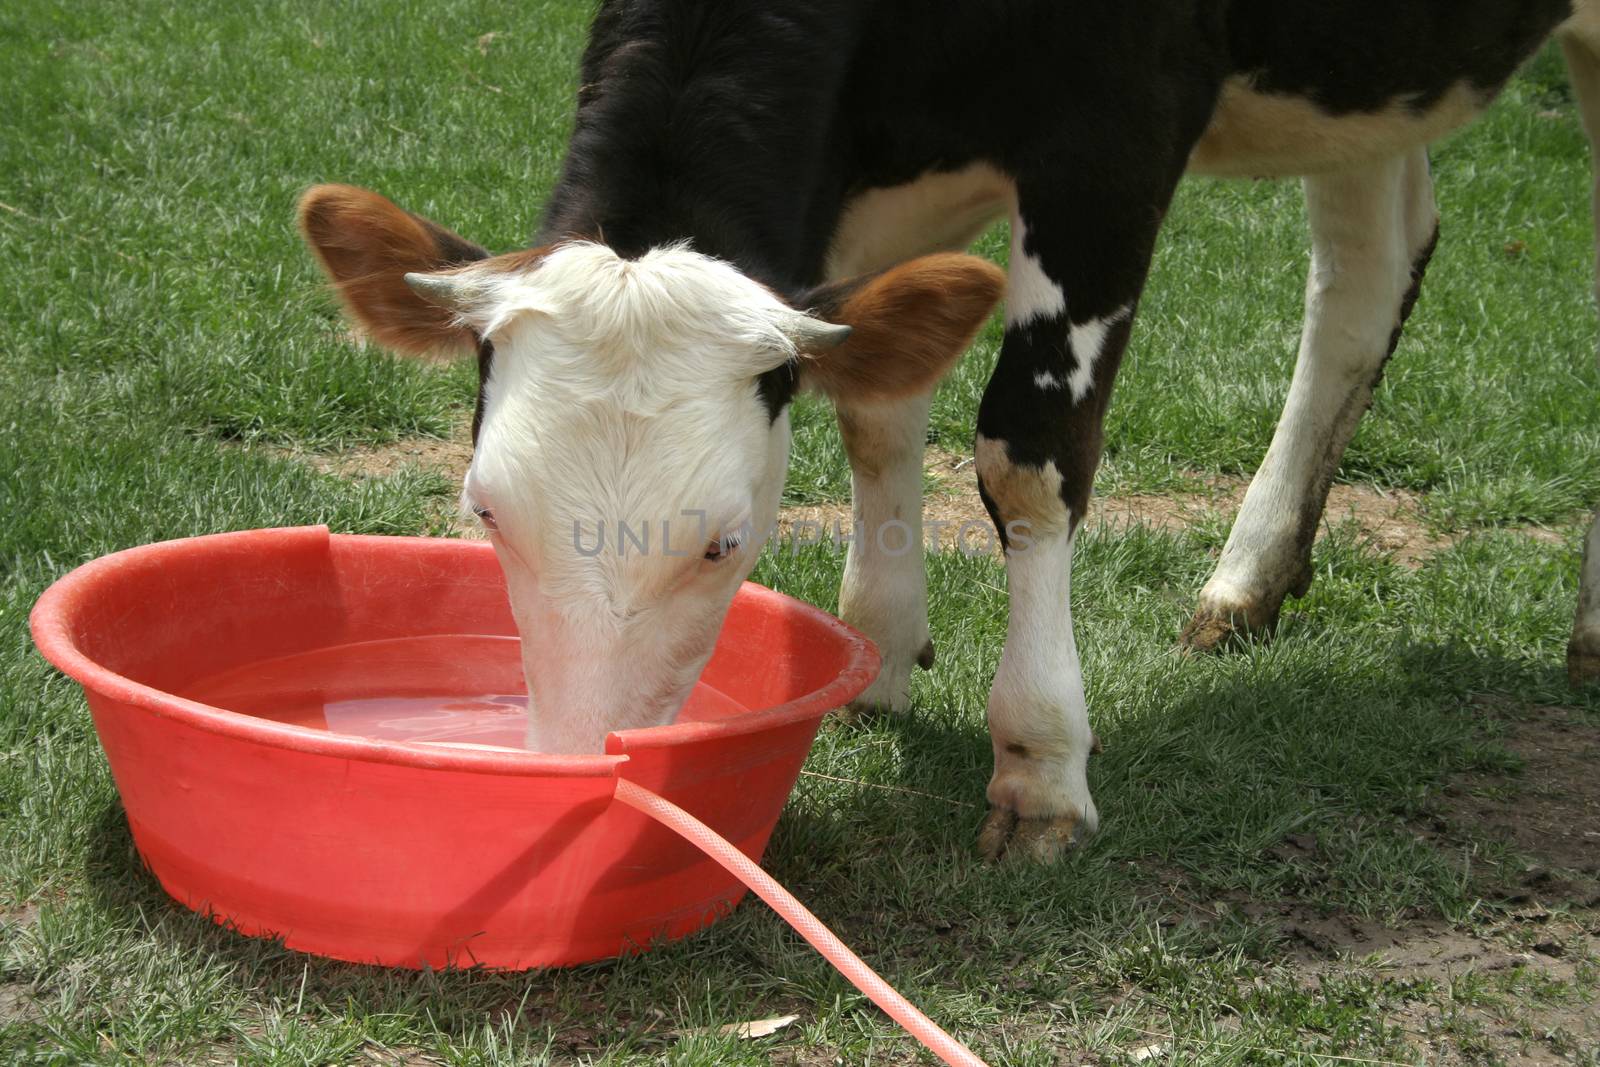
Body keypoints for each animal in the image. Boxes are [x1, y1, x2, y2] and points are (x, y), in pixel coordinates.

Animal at [297, 0, 1600, 863]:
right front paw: (874, 650)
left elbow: (1025, 451)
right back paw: (1247, 580)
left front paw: (1041, 766)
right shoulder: (874, 159)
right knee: (1368, 271)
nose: (576, 769)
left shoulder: (1113, 126)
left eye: (725, 543)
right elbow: (876, 404)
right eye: (485, 508)